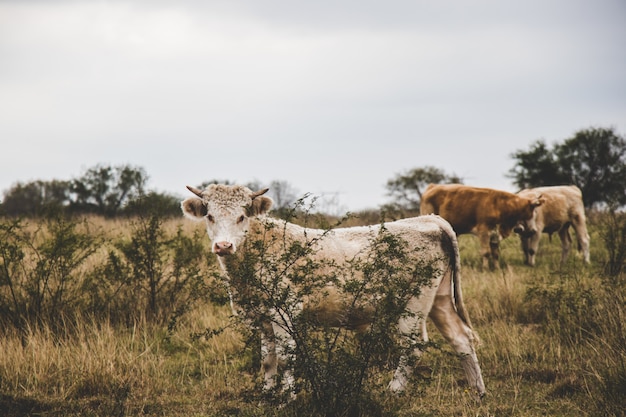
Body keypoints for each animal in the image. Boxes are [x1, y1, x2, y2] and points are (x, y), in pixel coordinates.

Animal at [180, 184, 482, 396]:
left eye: (242, 216)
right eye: (209, 216)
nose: (223, 246)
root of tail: (431, 220)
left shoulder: (284, 311)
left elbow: (287, 357)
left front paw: (287, 397)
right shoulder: (262, 317)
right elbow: (268, 359)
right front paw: (267, 394)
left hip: (413, 303)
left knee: (413, 346)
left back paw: (394, 390)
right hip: (440, 299)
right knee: (461, 338)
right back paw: (477, 392)